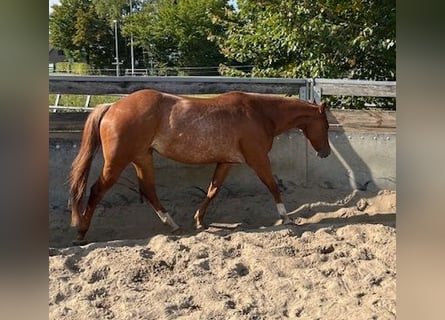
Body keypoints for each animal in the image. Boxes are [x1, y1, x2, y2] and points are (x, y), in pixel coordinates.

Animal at [67, 89, 328, 242]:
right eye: (325, 125)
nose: (325, 152)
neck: (259, 113)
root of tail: (111, 106)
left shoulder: (226, 162)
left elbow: (213, 190)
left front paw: (199, 221)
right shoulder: (258, 159)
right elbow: (273, 185)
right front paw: (286, 218)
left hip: (142, 157)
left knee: (149, 190)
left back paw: (173, 225)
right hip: (117, 162)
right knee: (96, 190)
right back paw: (81, 232)